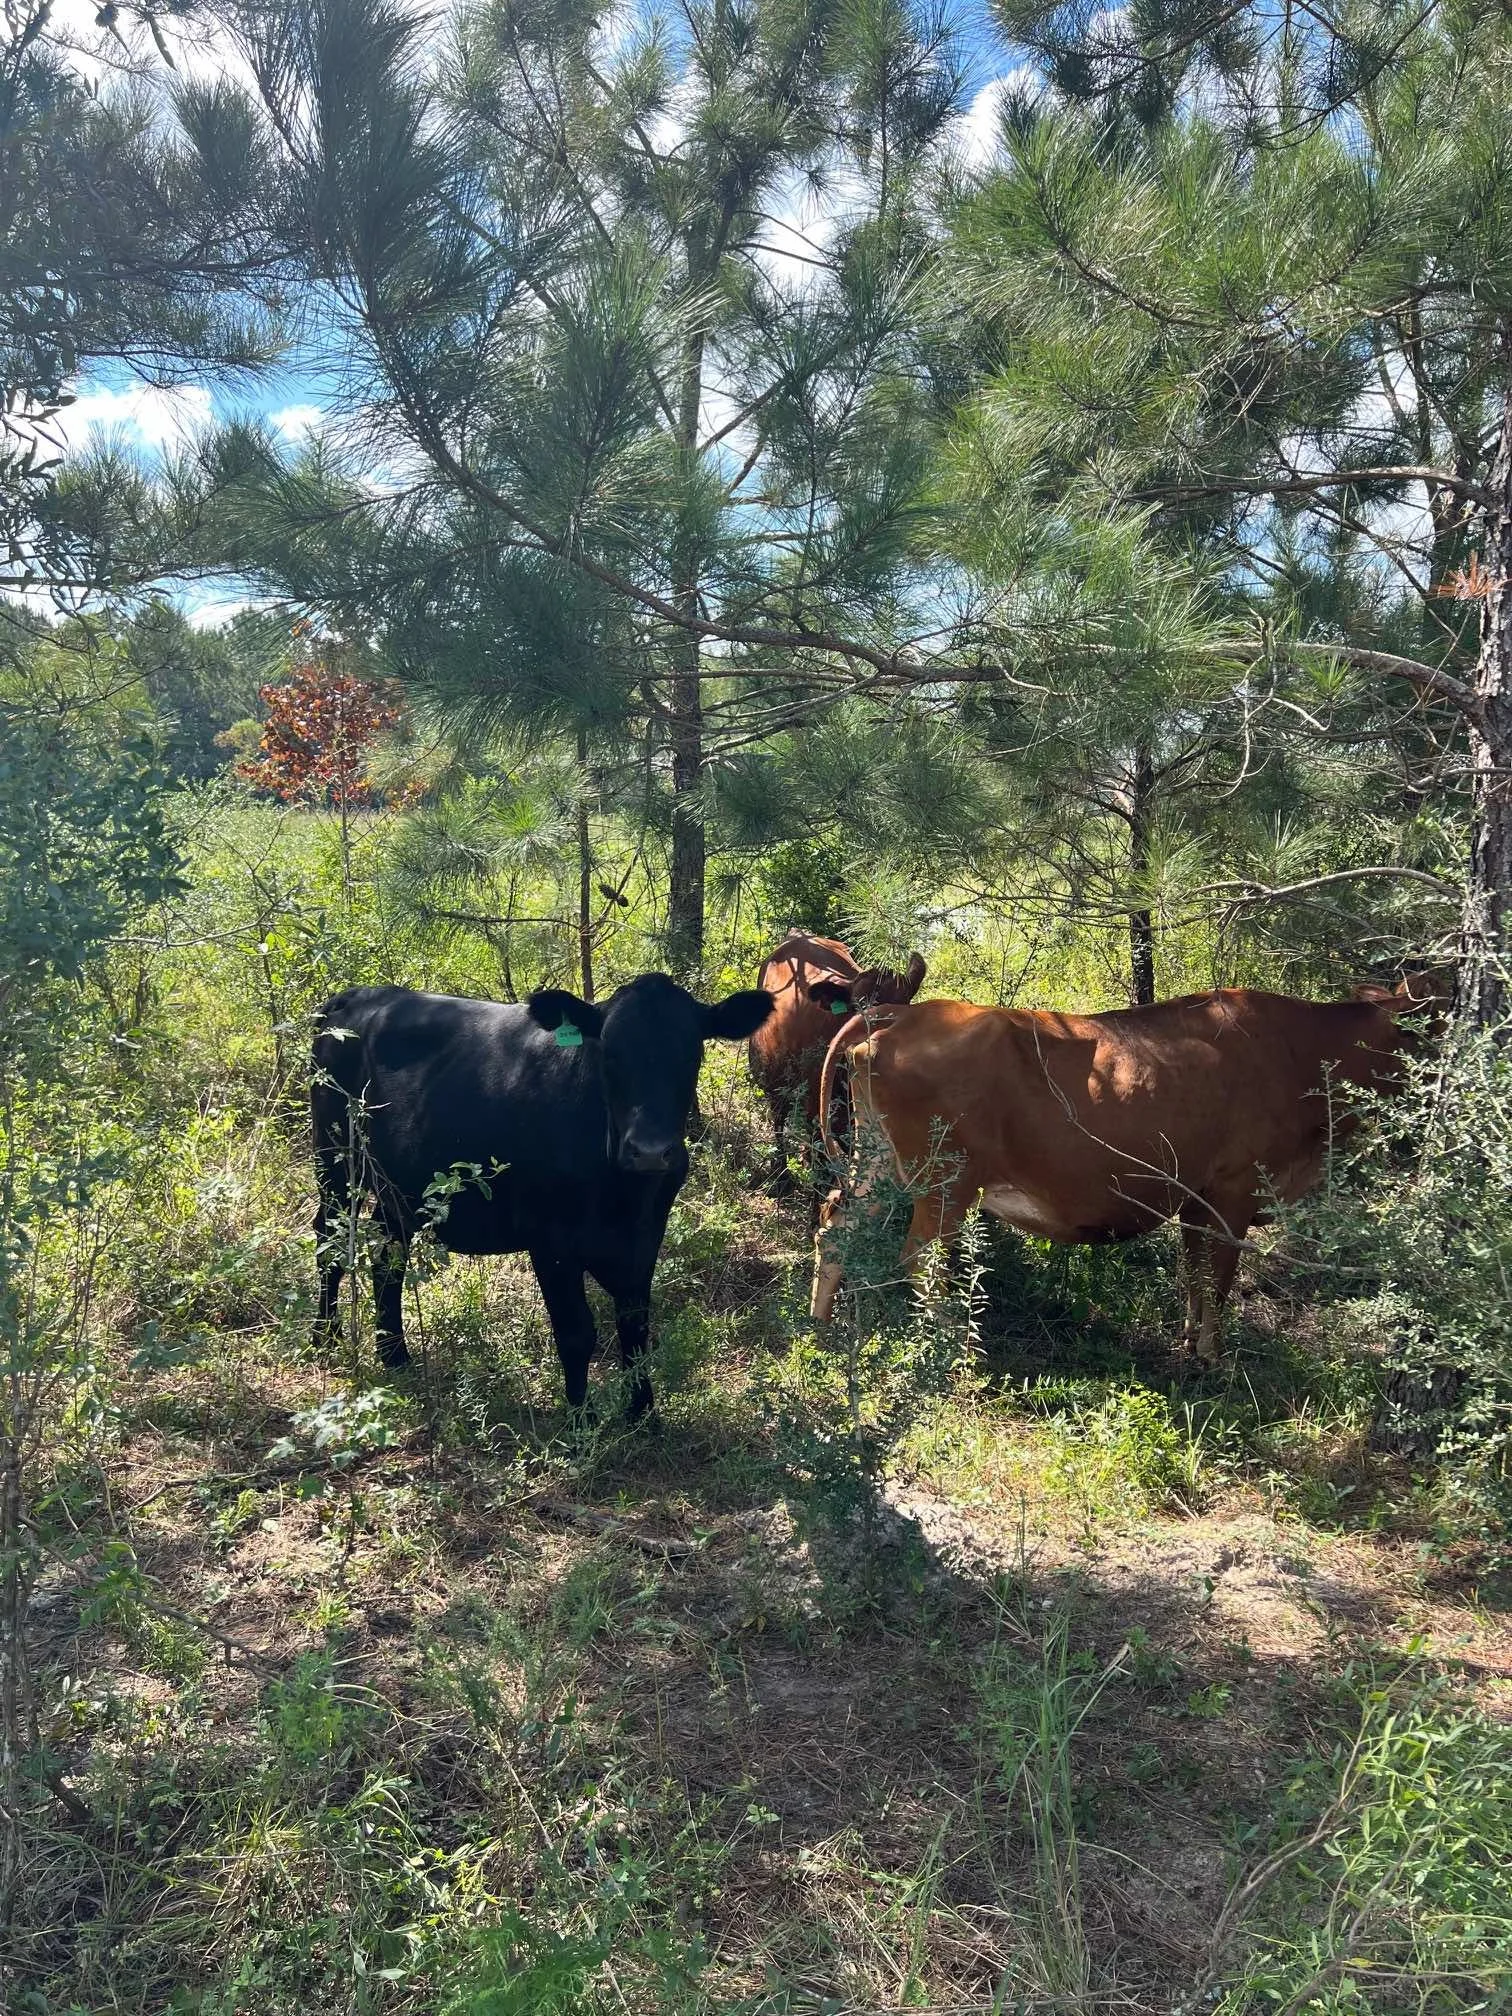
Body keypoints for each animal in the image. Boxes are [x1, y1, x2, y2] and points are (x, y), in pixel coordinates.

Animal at [311, 974, 774, 1419]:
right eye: (609, 1055)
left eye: (691, 1055)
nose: (649, 1150)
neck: (625, 1196)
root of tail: (354, 995)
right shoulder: (551, 1242)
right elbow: (576, 1333)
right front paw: (581, 1422)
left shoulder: (646, 1236)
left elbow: (636, 1326)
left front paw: (643, 1413)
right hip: (335, 1159)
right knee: (328, 1238)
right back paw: (325, 1337)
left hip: (397, 1189)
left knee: (387, 1254)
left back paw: (394, 1355)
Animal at [748, 932, 926, 1190]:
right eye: (860, 1007)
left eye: (905, 1008)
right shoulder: (815, 1104)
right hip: (774, 1082)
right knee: (779, 1122)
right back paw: (781, 1176)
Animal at [810, 976, 1446, 1359]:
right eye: (1431, 1026)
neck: (1303, 1053)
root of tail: (900, 1014)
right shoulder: (1234, 1192)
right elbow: (1218, 1281)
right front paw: (1212, 1358)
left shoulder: (1195, 1197)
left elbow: (1193, 1276)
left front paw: (1188, 1341)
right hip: (946, 1180)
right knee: (920, 1260)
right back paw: (952, 1348)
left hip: (880, 1164)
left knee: (835, 1222)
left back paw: (821, 1326)